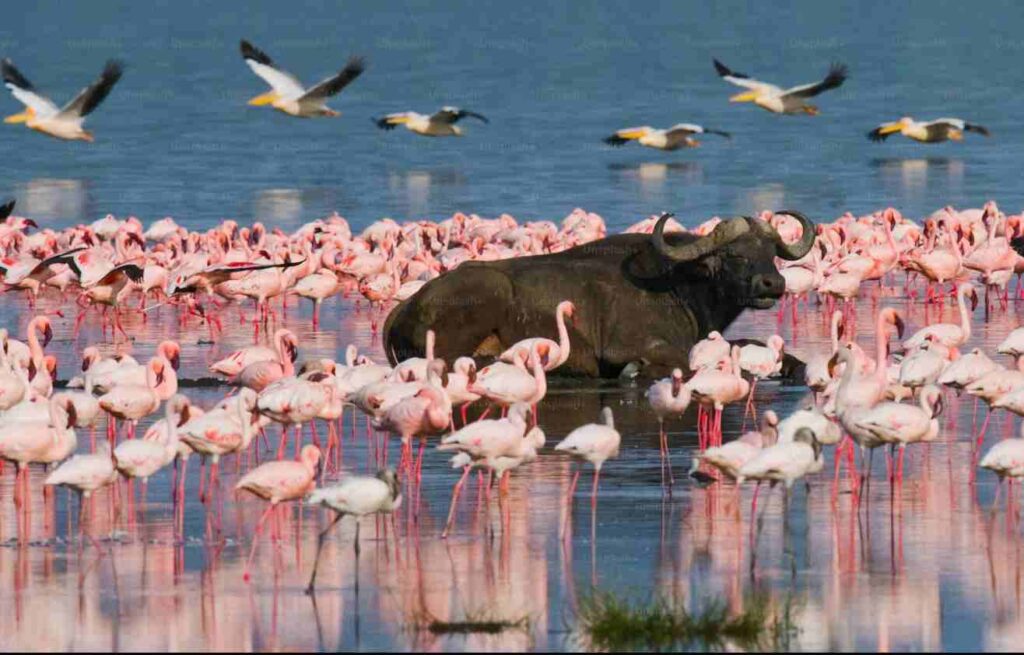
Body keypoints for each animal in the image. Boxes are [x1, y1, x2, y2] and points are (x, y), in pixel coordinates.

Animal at [385, 212, 815, 376]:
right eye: (735, 255)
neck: (679, 286)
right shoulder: (631, 346)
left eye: (770, 252)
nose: (773, 284)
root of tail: (405, 306)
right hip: (488, 292)